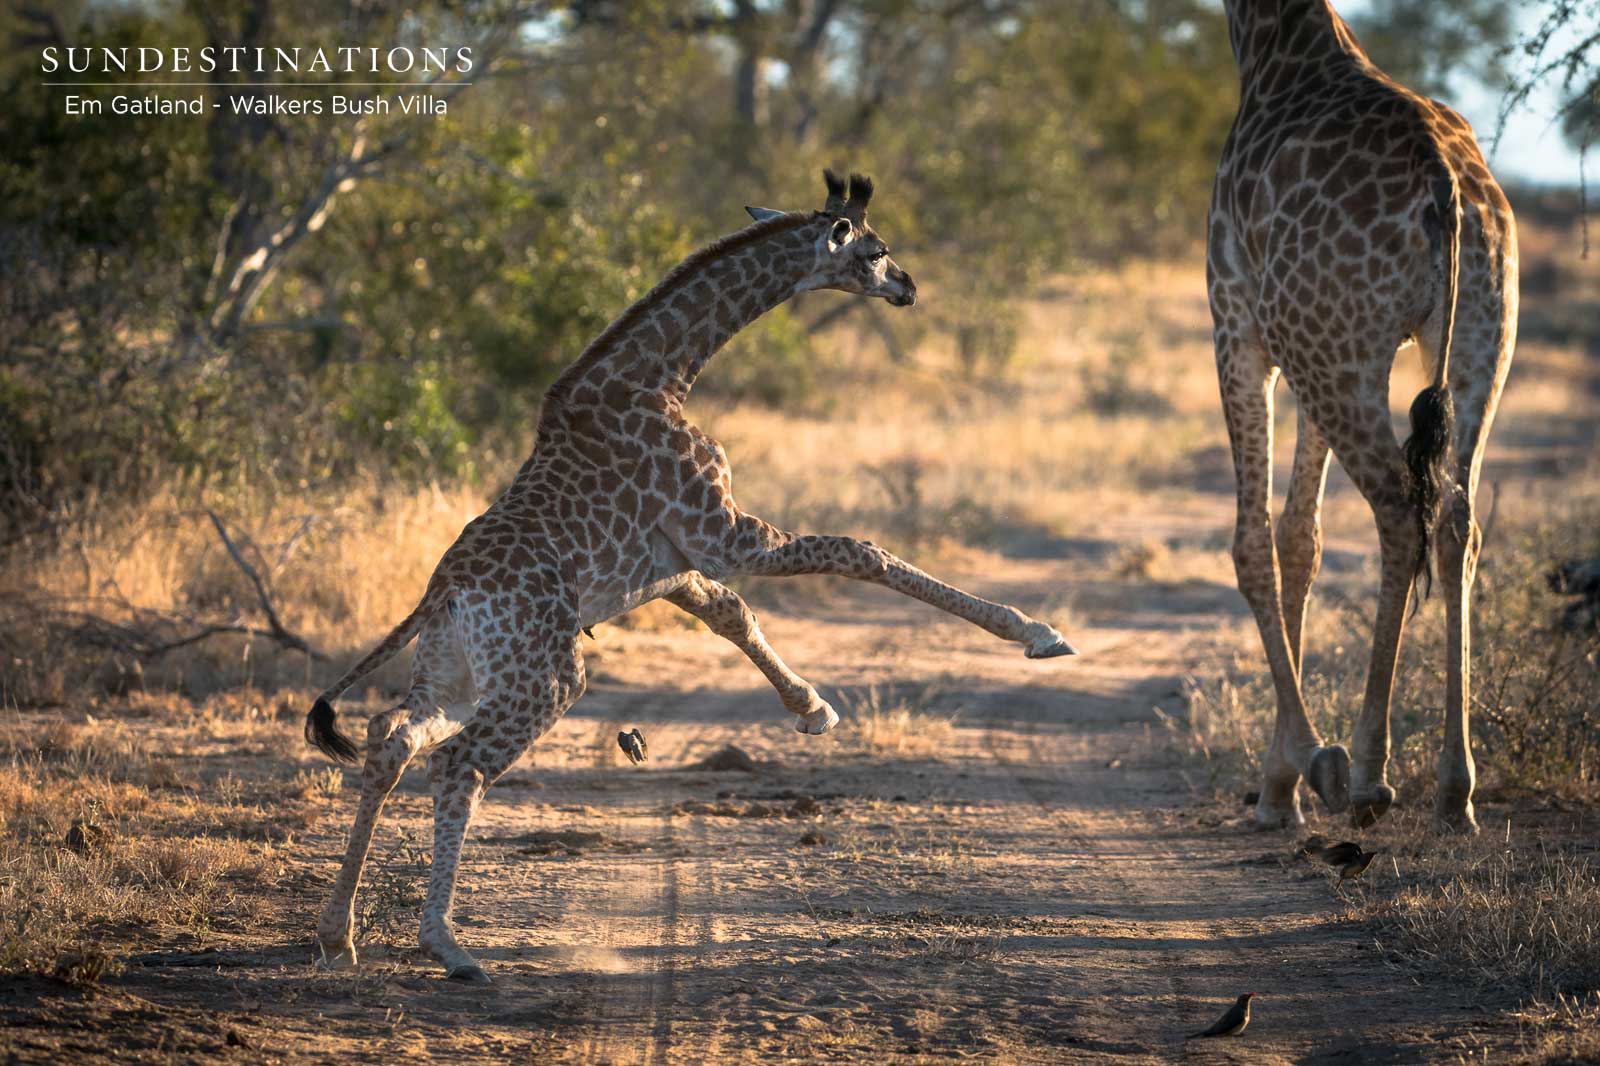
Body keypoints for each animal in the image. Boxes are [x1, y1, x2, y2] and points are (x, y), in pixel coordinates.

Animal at [307, 170, 1077, 982]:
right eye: (874, 249)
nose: (908, 286)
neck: (663, 376)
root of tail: (443, 593)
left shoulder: (669, 563)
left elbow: (733, 612)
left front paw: (811, 707)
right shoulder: (723, 535)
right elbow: (862, 551)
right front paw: (1037, 632)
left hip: (457, 671)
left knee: (392, 736)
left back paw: (338, 932)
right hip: (546, 674)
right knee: (457, 765)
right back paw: (448, 945)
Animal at [1208, 0, 1517, 833]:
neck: (1273, 50)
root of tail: (1447, 190)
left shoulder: (1239, 324)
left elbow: (1252, 543)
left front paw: (1298, 767)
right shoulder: (1303, 345)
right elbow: (1300, 538)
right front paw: (1279, 781)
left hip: (1337, 348)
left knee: (1400, 511)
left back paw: (1371, 773)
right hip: (1473, 340)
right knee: (1457, 521)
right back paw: (1455, 792)